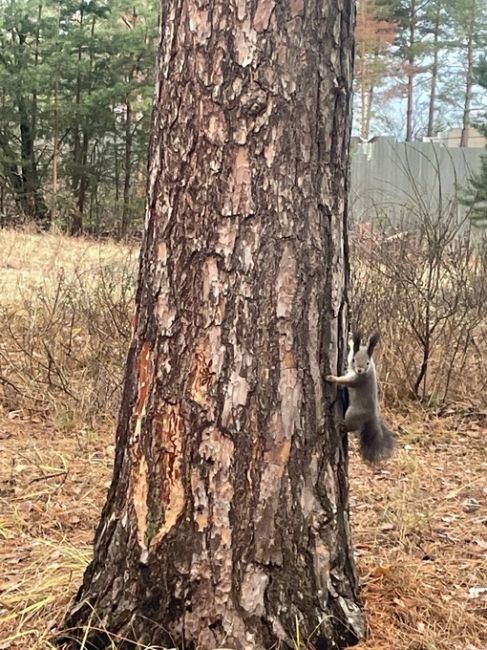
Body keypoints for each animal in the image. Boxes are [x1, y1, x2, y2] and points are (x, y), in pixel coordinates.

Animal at [326, 330, 394, 460]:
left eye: (367, 363)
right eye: (354, 360)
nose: (360, 370)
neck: (368, 370)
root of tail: (370, 417)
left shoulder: (358, 380)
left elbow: (345, 381)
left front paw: (332, 378)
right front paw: (351, 339)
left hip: (353, 414)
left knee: (350, 426)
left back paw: (342, 427)